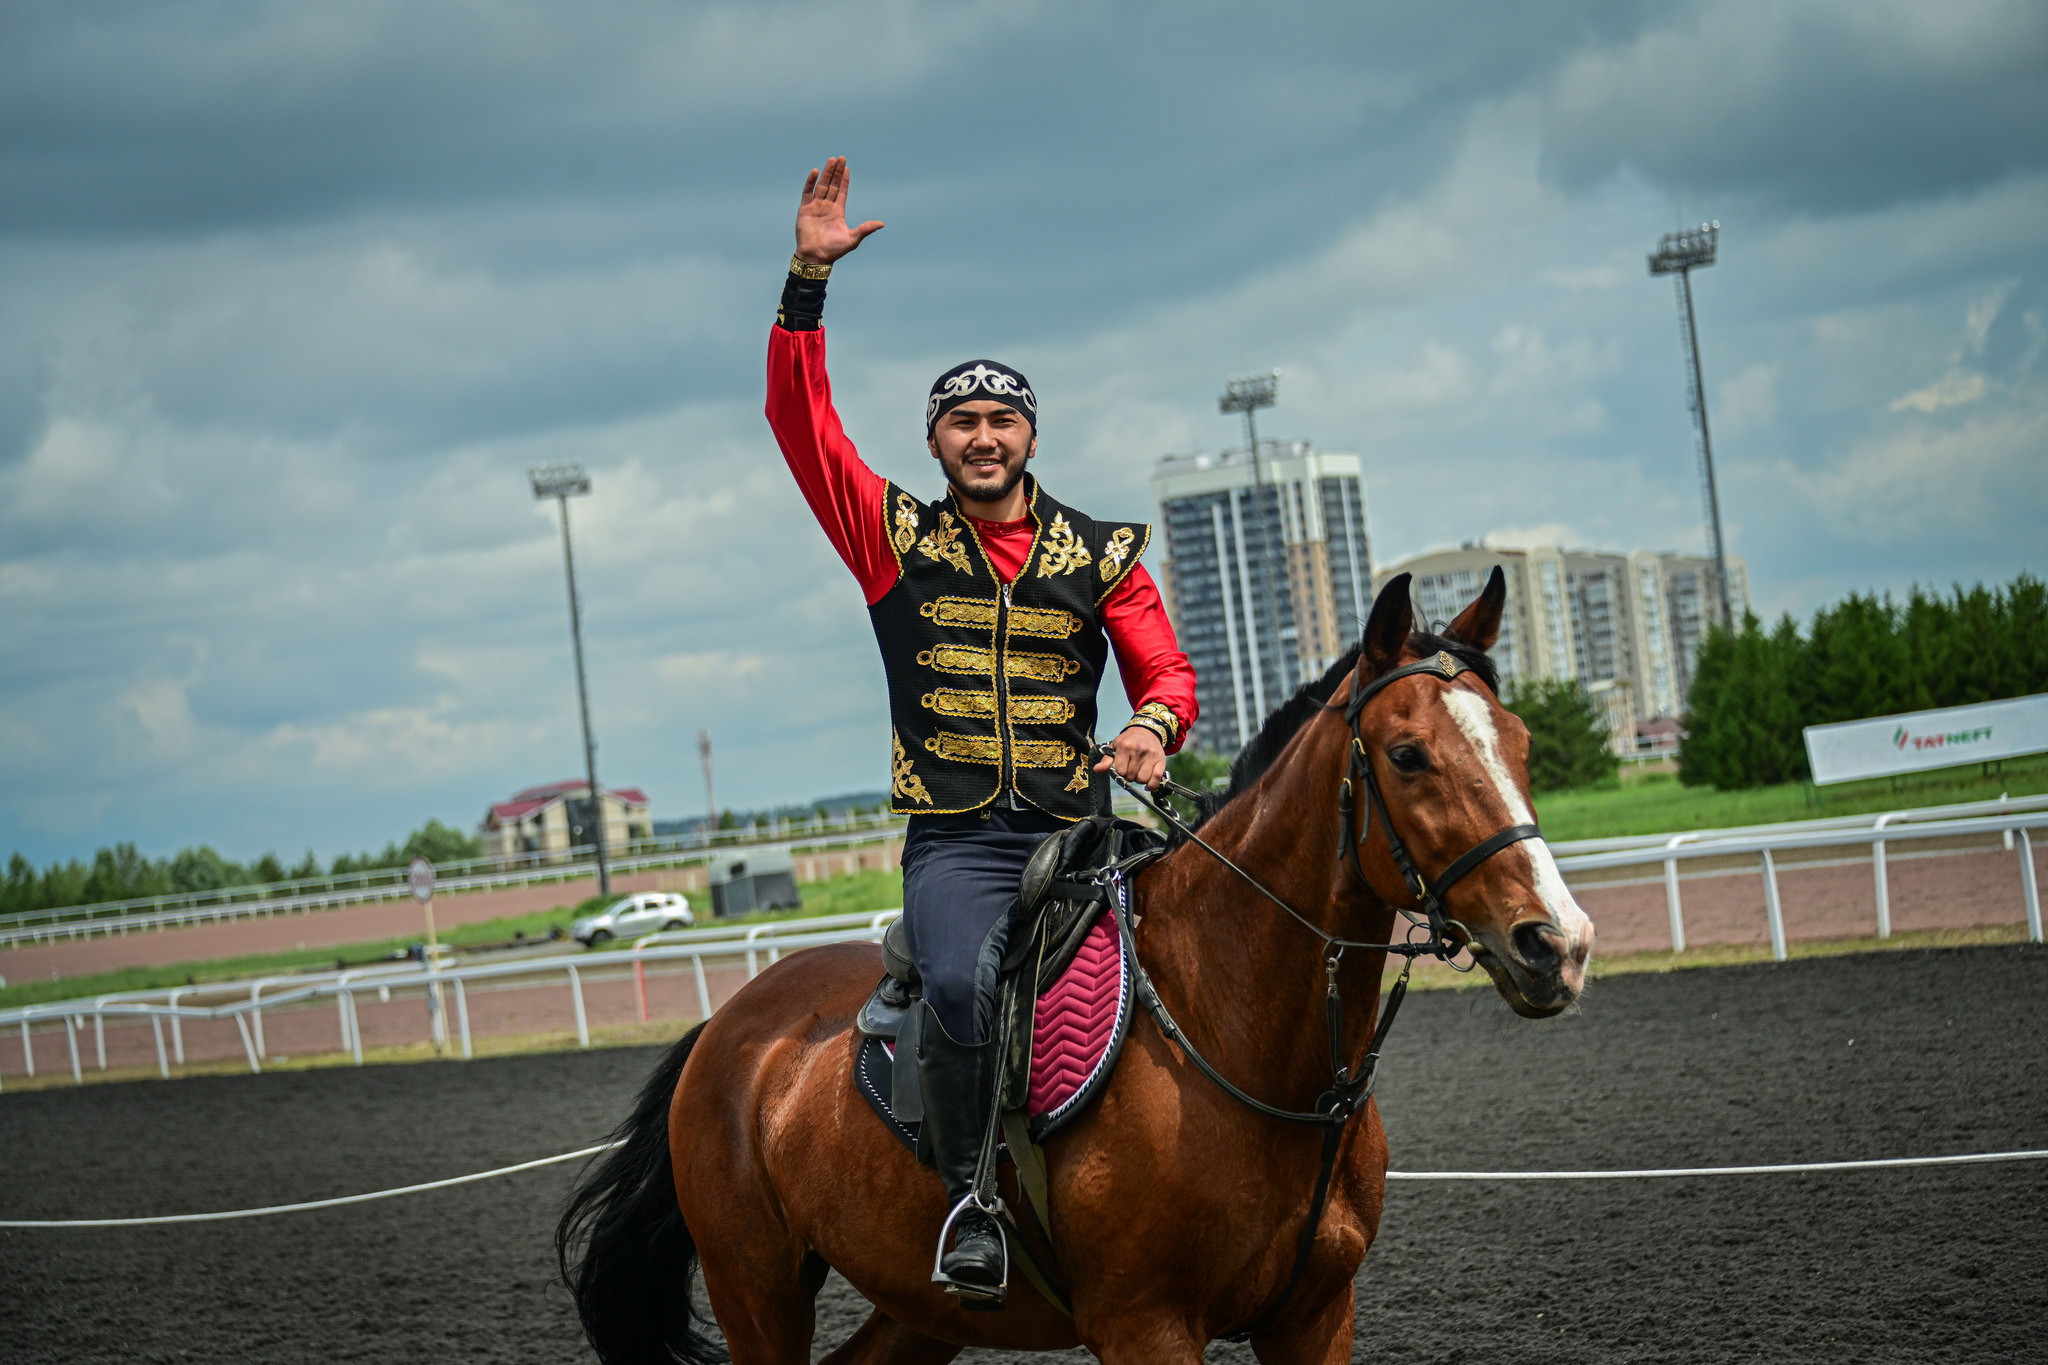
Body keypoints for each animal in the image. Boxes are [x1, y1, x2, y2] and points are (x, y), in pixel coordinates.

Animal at [565, 573, 1597, 1365]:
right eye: (1409, 754)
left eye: (1520, 744)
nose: (1558, 942)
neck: (1232, 1035)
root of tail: (728, 1027)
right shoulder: (1146, 1328)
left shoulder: (1314, 1315)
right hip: (756, 1291)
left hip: (915, 1308)